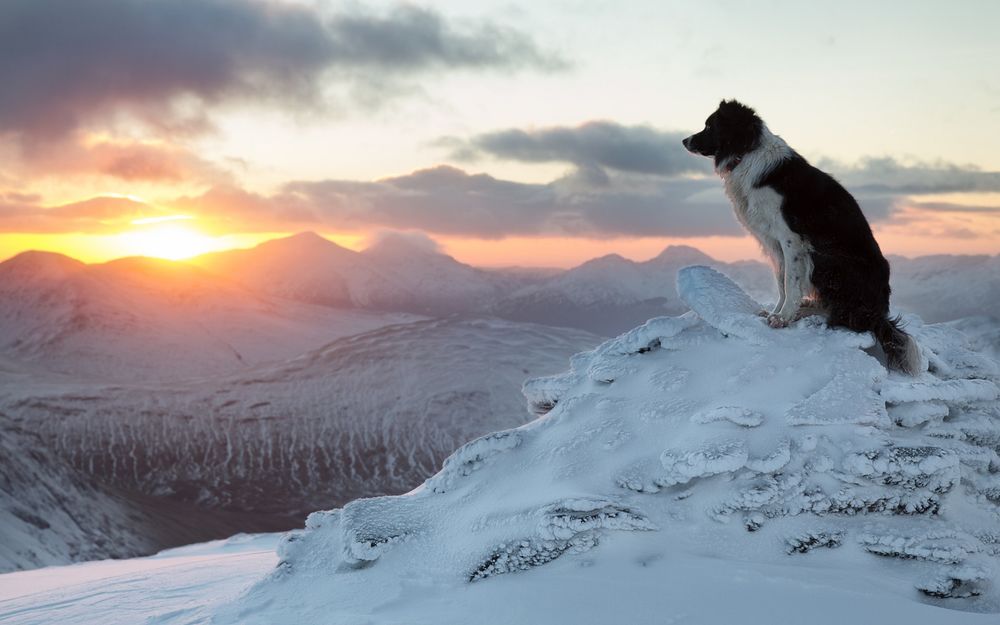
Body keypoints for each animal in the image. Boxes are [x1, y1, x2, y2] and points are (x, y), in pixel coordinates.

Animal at [680, 101, 920, 376]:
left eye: (710, 126)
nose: (684, 140)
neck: (747, 153)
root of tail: (879, 313)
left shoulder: (791, 239)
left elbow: (791, 282)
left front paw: (783, 318)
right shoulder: (774, 242)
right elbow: (781, 282)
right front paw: (776, 312)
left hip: (827, 258)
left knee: (845, 316)